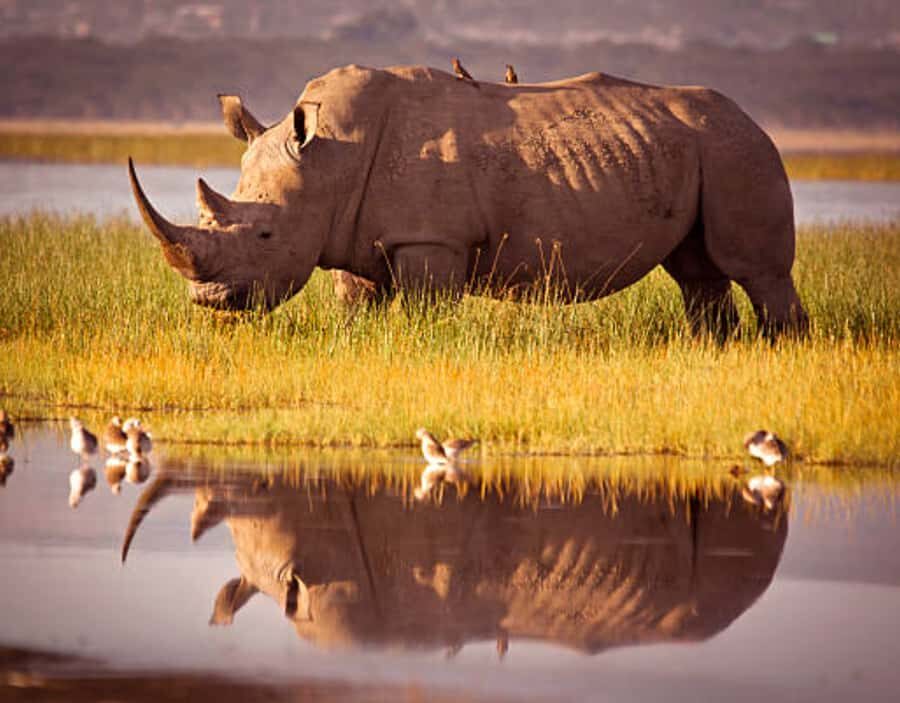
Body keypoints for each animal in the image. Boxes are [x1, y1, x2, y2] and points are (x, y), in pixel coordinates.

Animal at [129, 64, 809, 337]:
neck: (329, 162)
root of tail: (753, 119)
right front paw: (355, 341)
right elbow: (356, 304)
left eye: (266, 237)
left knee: (758, 271)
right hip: (701, 148)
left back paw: (780, 348)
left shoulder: (432, 240)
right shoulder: (349, 232)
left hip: (739, 150)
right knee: (697, 272)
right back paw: (713, 348)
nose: (210, 302)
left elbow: (427, 311)